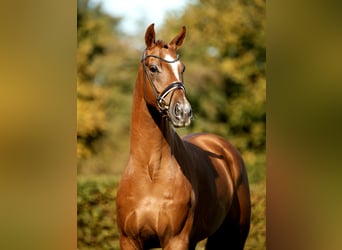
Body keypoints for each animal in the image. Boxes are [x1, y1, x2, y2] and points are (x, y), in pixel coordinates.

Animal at [115, 23, 251, 250]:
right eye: (153, 68)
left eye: (182, 68)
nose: (184, 112)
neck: (150, 171)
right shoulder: (129, 241)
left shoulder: (176, 240)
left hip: (235, 235)